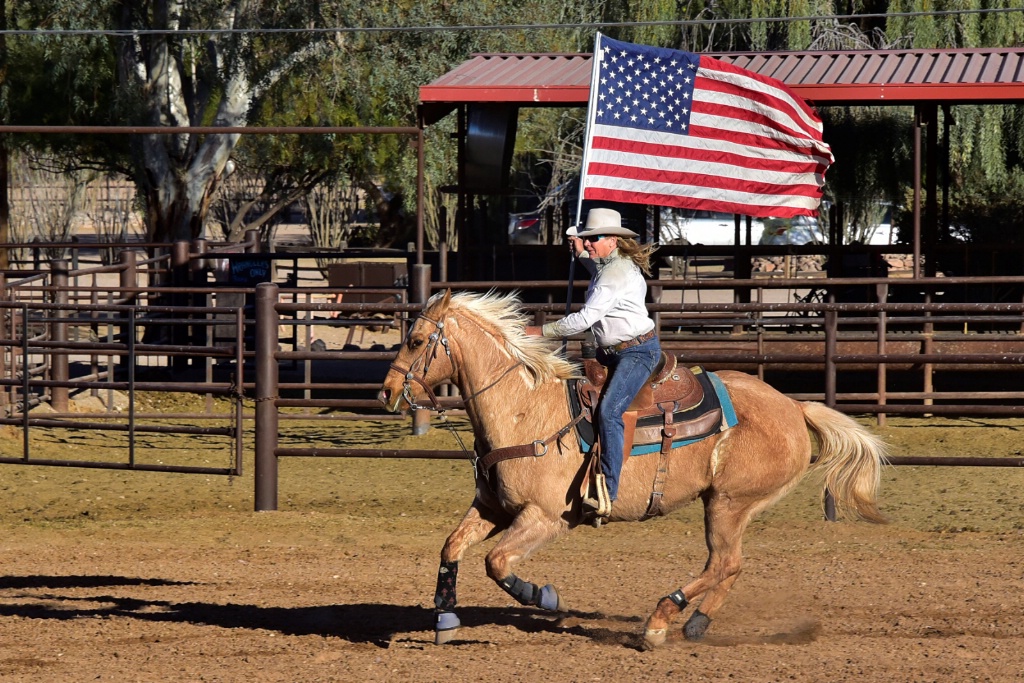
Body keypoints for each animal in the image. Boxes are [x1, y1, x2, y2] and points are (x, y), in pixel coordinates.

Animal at [378, 290, 888, 651]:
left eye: (417, 341)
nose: (386, 392)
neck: (525, 409)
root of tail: (795, 407)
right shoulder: (492, 508)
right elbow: (452, 547)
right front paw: (445, 619)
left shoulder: (545, 517)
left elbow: (497, 562)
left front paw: (546, 598)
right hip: (726, 504)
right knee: (730, 566)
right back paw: (696, 623)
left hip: (729, 503)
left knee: (724, 563)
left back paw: (659, 623)